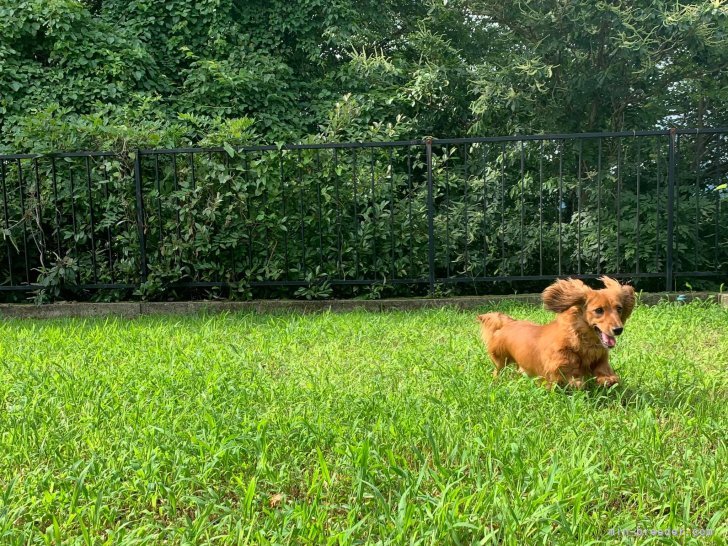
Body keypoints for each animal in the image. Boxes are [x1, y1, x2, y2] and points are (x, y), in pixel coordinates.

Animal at [478, 276, 632, 386]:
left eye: (619, 308)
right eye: (599, 310)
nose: (618, 329)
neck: (580, 340)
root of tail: (509, 323)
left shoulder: (600, 358)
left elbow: (603, 369)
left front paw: (608, 379)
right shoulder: (556, 367)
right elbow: (567, 371)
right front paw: (576, 380)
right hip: (500, 359)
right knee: (497, 370)